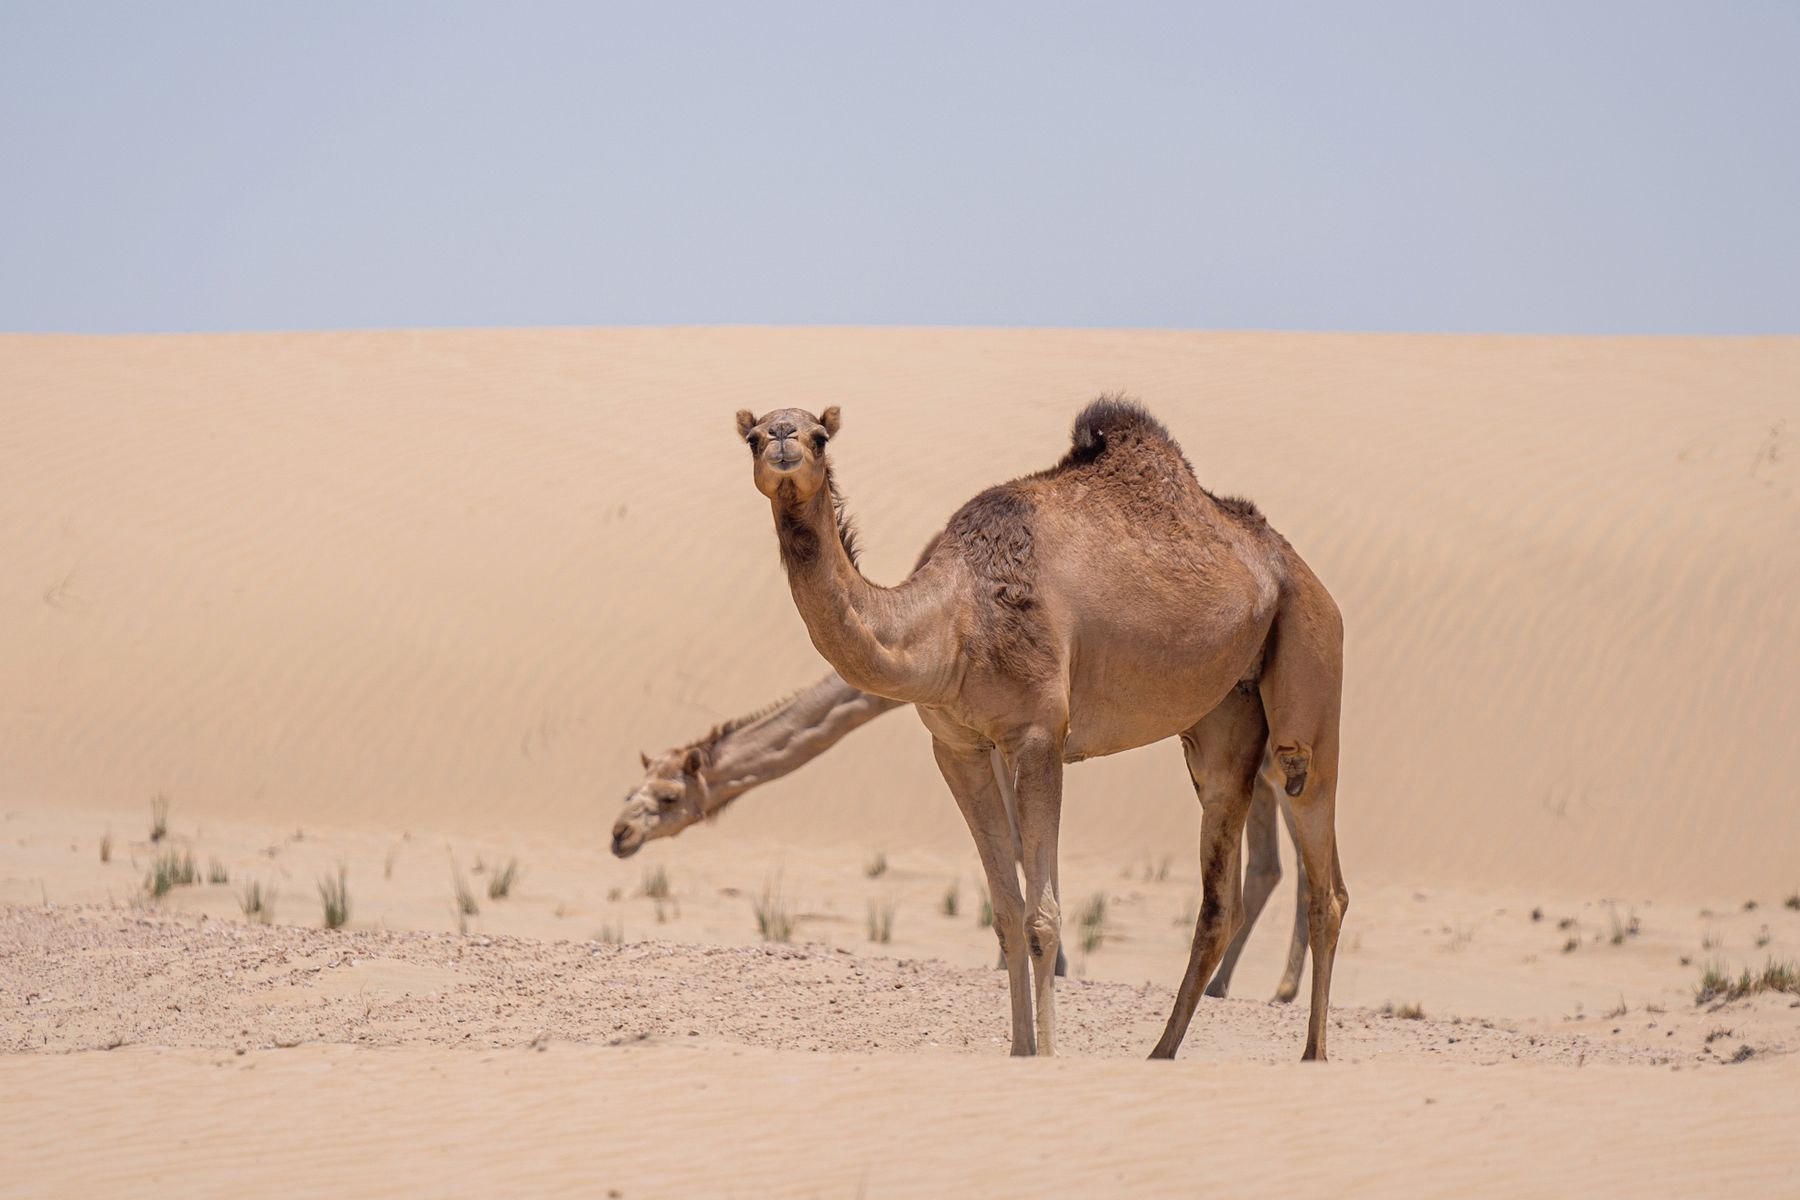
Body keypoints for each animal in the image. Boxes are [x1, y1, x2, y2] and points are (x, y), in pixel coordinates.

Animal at [607, 671, 1312, 1000]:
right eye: (631, 786)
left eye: (668, 797)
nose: (619, 834)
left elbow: (1021, 842)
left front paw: (1040, 963)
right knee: (1275, 861)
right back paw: (1248, 987)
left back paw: (1259, 989)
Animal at [734, 397, 1346, 1059]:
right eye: (752, 437)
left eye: (820, 436)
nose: (784, 439)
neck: (950, 622)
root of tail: (1302, 570)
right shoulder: (958, 746)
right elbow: (1005, 913)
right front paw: (1019, 1050)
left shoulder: (1037, 735)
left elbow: (1041, 918)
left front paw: (1047, 1053)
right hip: (1224, 718)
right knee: (1221, 893)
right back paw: (1161, 1052)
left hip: (1310, 657)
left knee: (1322, 868)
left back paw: (1312, 1053)